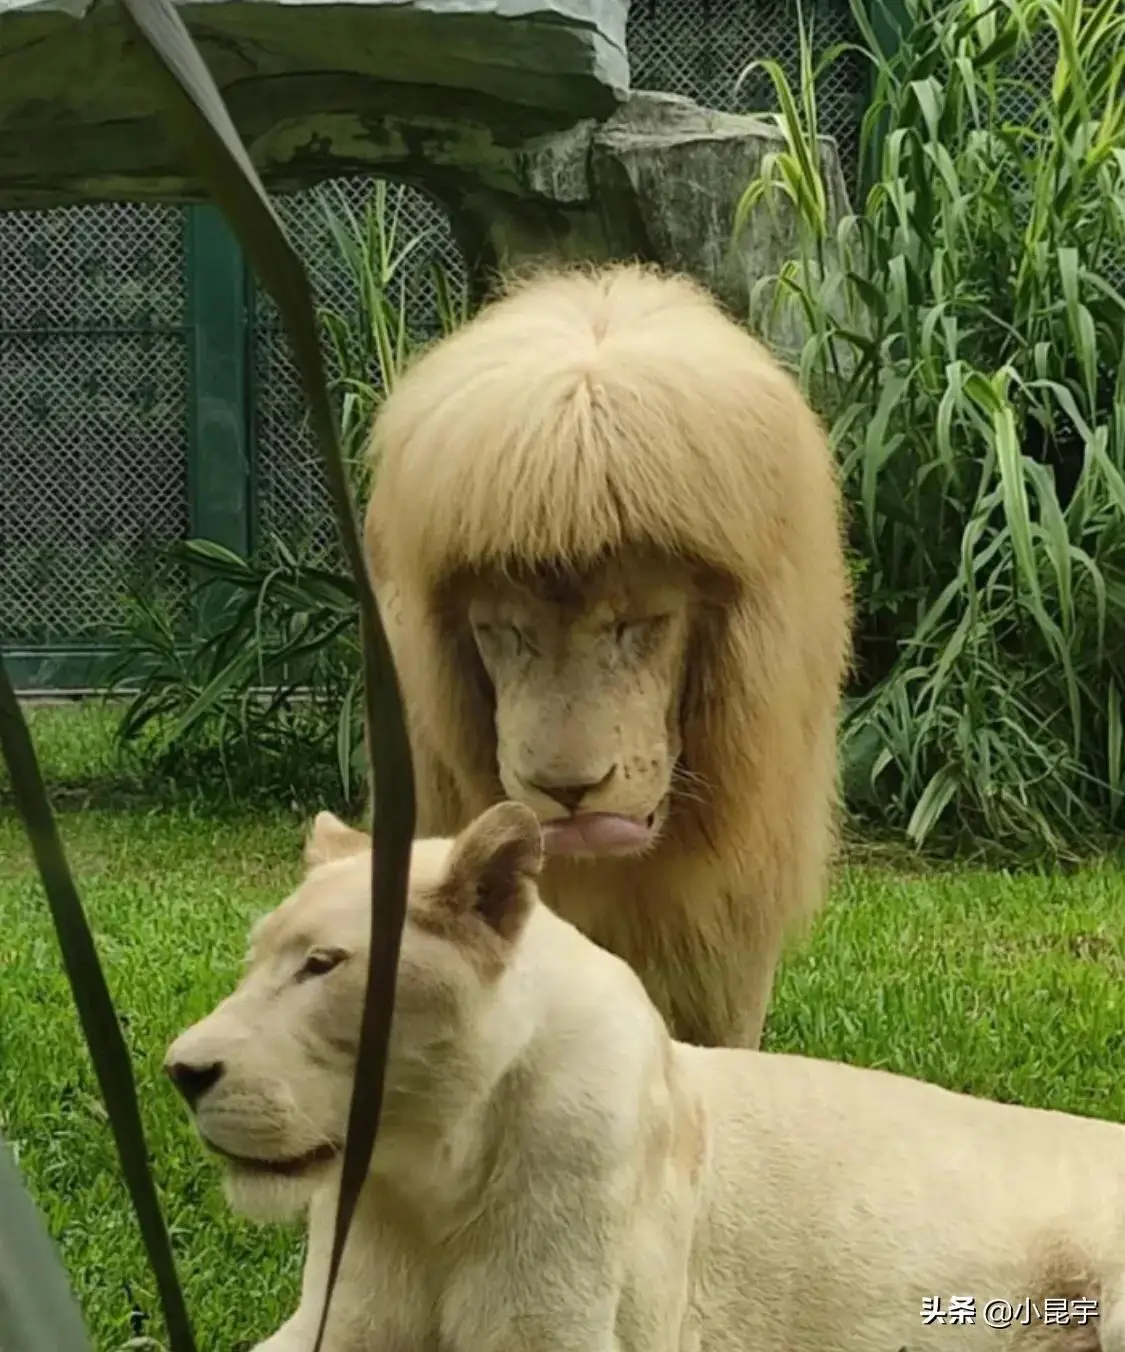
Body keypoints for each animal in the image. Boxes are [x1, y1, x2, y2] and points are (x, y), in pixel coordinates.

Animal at [166, 800, 1125, 1352]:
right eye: (254, 959)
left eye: (323, 965)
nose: (181, 1071)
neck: (426, 1178)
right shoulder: (338, 1321)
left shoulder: (565, 1332)